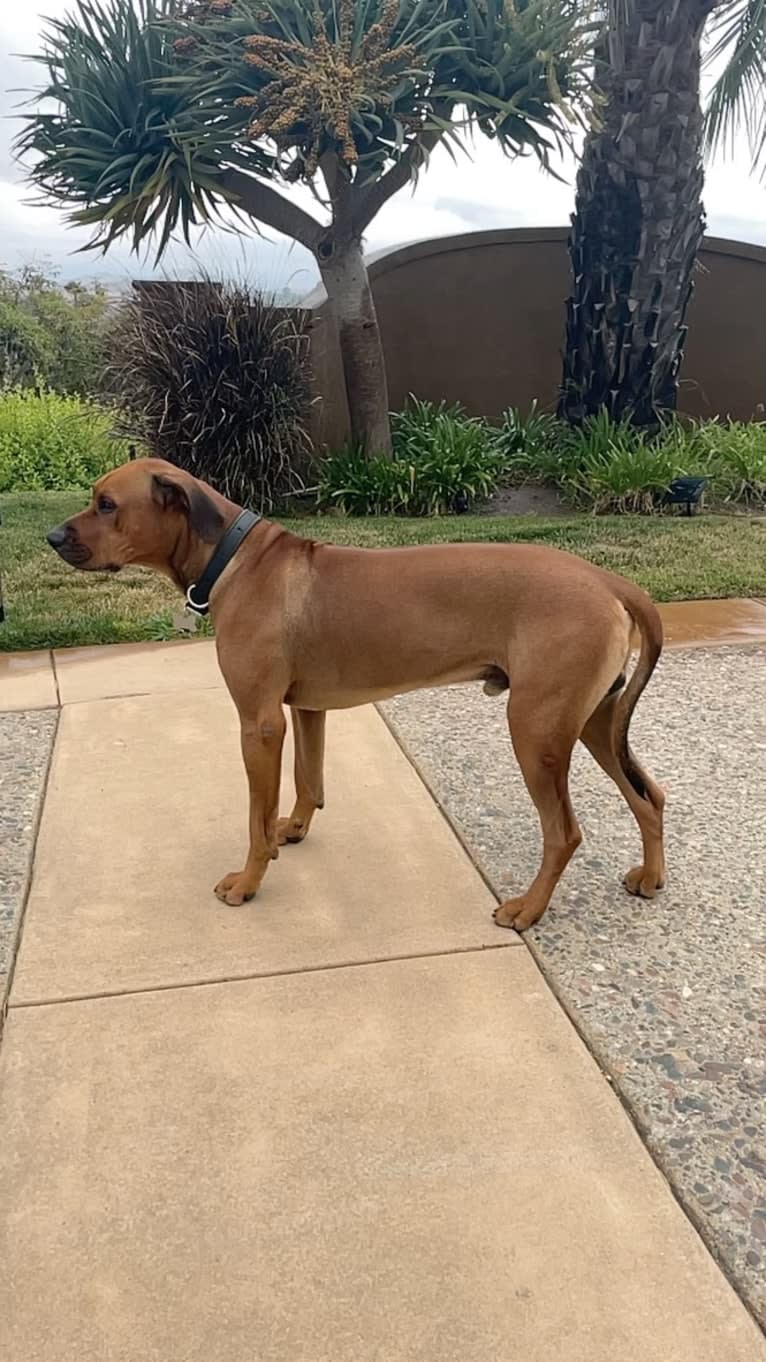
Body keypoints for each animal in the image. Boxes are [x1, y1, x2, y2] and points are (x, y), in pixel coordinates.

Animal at [47, 463, 662, 931]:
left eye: (106, 504)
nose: (52, 538)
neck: (234, 558)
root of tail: (610, 581)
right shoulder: (304, 708)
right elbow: (308, 779)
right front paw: (292, 831)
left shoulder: (258, 723)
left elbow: (254, 818)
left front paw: (248, 880)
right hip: (593, 722)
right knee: (649, 796)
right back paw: (651, 877)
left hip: (535, 729)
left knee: (564, 833)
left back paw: (528, 909)